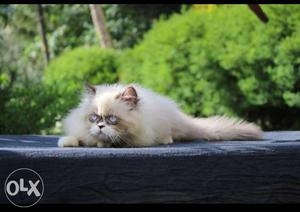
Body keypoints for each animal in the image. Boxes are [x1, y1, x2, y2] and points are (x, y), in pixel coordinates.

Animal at [57, 83, 262, 147]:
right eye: (94, 118)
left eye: (112, 120)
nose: (100, 126)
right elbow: (79, 138)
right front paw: (67, 142)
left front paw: (103, 142)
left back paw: (167, 140)